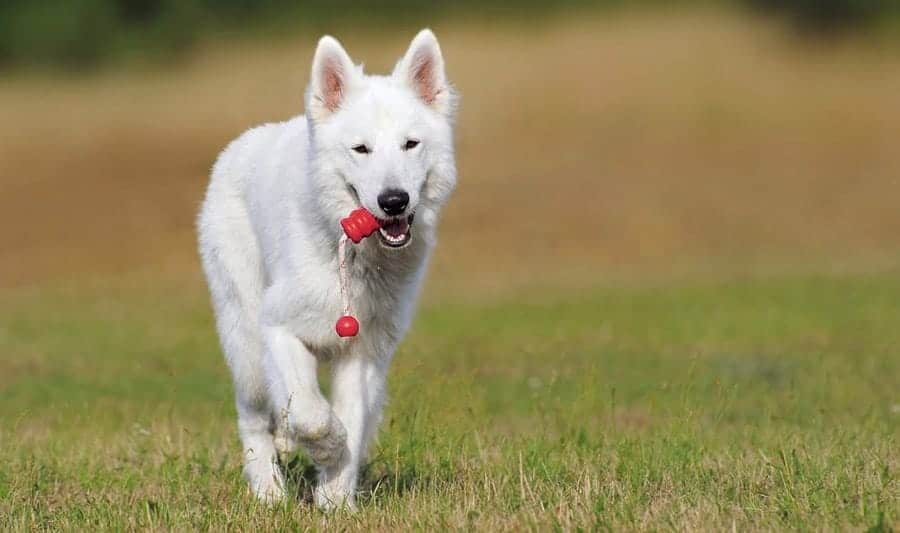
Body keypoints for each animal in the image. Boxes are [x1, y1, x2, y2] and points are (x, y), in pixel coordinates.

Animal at [193, 30, 454, 508]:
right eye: (361, 149)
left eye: (410, 144)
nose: (394, 201)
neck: (352, 256)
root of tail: (242, 143)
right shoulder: (278, 329)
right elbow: (312, 413)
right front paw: (327, 448)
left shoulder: (364, 353)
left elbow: (351, 418)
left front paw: (335, 501)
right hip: (246, 342)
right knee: (253, 417)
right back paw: (268, 492)